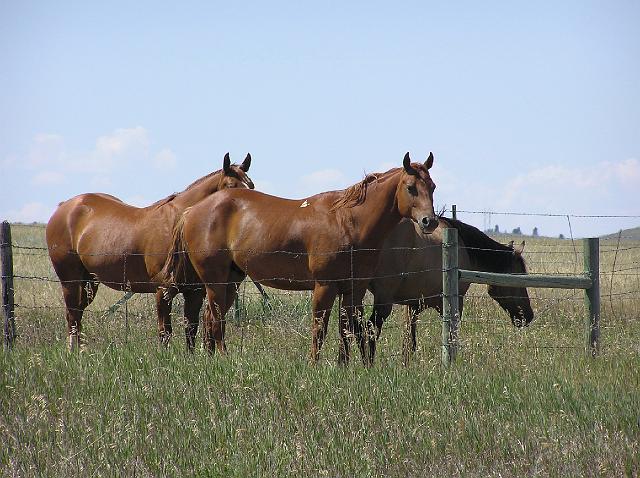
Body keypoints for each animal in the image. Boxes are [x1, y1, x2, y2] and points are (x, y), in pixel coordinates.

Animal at [45, 153, 254, 352]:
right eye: (231, 185)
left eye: (251, 186)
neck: (179, 223)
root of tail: (65, 206)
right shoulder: (163, 290)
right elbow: (165, 332)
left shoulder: (194, 292)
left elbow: (191, 329)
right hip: (70, 280)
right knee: (72, 315)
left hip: (89, 281)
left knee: (77, 315)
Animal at [162, 153, 438, 366]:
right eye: (411, 187)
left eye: (432, 186)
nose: (430, 221)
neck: (348, 222)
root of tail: (191, 211)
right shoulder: (324, 286)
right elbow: (320, 328)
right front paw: (314, 364)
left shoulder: (353, 289)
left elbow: (348, 328)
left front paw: (345, 366)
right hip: (216, 282)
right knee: (216, 319)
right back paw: (223, 358)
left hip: (231, 281)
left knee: (209, 318)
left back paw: (210, 359)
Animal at [368, 217, 532, 362]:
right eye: (520, 275)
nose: (528, 316)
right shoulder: (453, 302)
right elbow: (451, 336)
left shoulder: (413, 305)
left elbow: (409, 343)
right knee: (370, 329)